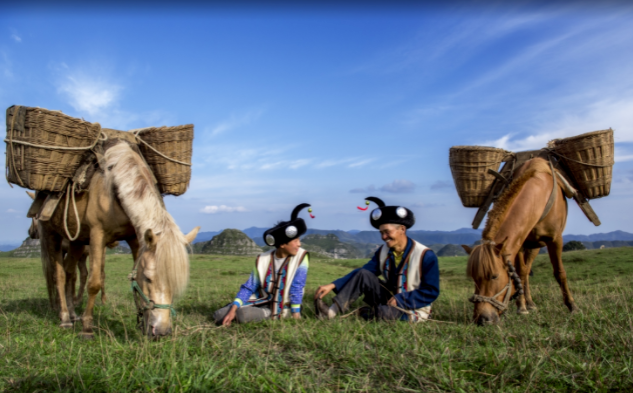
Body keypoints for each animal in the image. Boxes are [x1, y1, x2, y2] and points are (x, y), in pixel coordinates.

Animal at [39, 141, 198, 336]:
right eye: (148, 278)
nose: (161, 331)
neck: (115, 192)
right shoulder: (97, 235)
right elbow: (94, 283)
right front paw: (87, 328)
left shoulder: (135, 239)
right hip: (51, 234)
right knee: (59, 276)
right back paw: (65, 318)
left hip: (76, 241)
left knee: (70, 274)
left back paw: (72, 313)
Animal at [460, 156, 576, 324]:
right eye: (474, 278)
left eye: (494, 276)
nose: (481, 319)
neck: (538, 197)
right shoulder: (519, 242)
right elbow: (520, 273)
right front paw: (522, 307)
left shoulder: (555, 239)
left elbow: (560, 272)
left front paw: (572, 306)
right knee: (526, 271)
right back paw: (530, 303)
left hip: (536, 245)